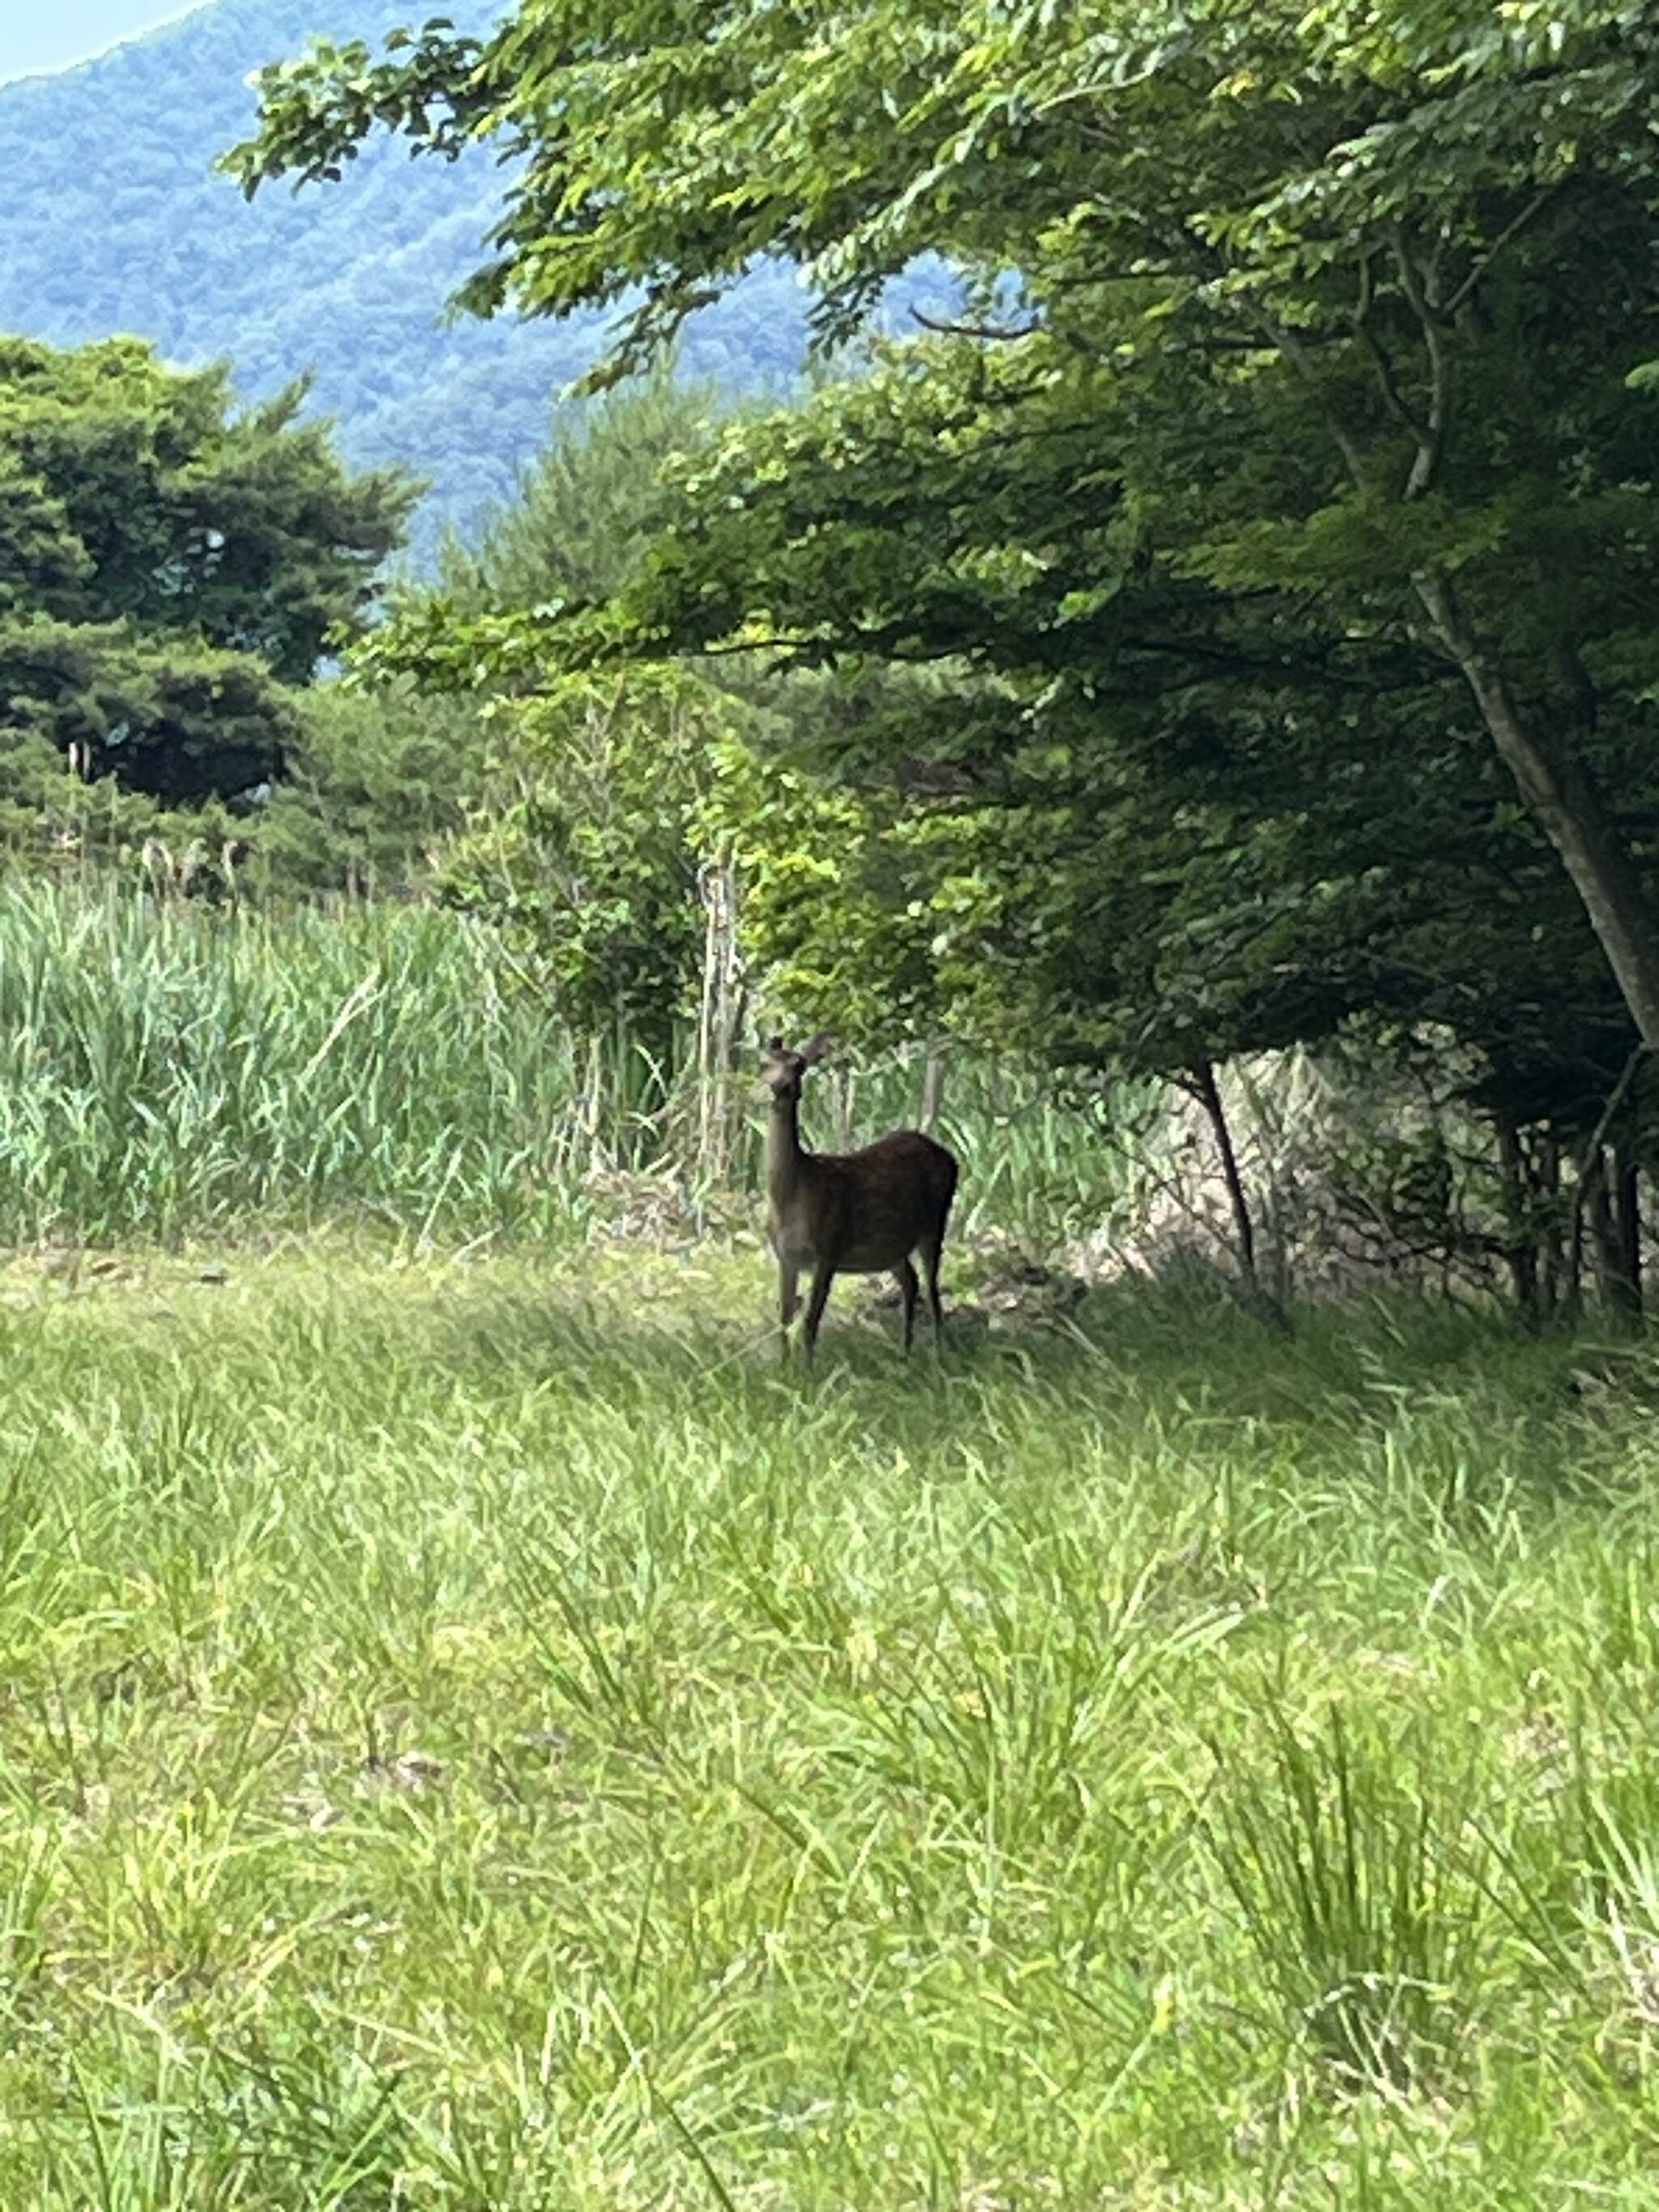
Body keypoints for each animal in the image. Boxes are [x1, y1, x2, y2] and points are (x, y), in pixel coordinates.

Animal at [760, 1034, 960, 1364]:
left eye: (799, 1066)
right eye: (763, 1063)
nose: (780, 1087)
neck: (791, 1199)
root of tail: (951, 1158)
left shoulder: (828, 1249)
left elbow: (810, 1324)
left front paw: (808, 1373)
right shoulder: (785, 1256)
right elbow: (784, 1320)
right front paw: (783, 1369)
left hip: (935, 1222)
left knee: (933, 1290)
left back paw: (938, 1354)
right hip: (892, 1245)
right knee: (910, 1280)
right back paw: (905, 1351)